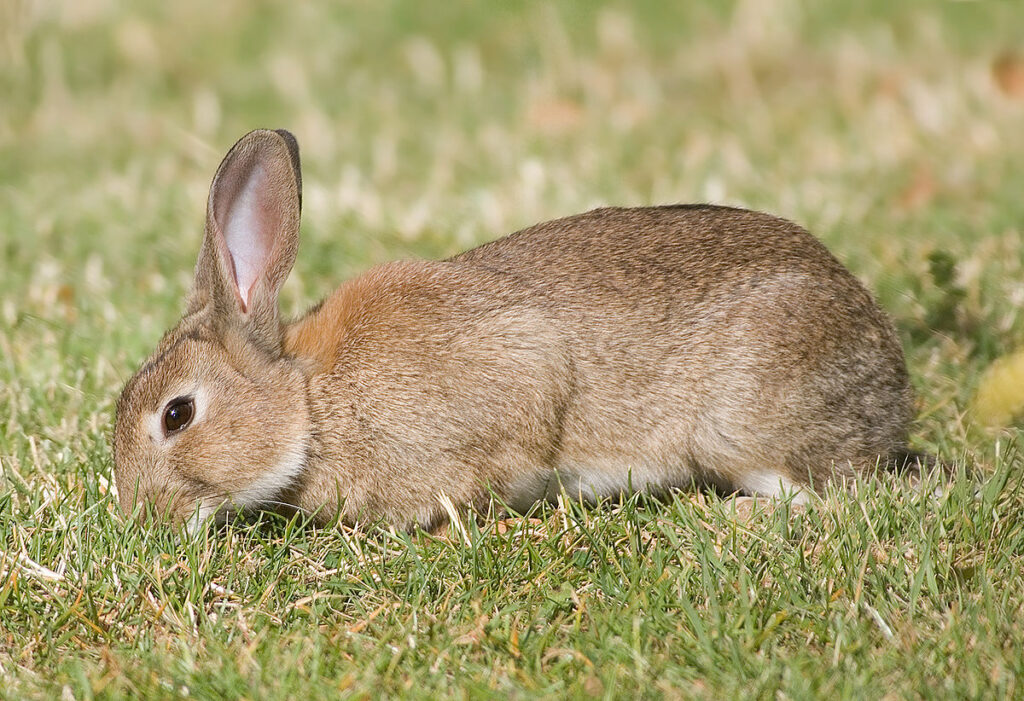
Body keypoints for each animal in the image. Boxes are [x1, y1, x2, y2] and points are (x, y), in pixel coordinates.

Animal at [110, 128, 913, 532]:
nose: (141, 519)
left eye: (177, 415)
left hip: (741, 424)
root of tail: (891, 381)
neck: (310, 404)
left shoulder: (517, 374)